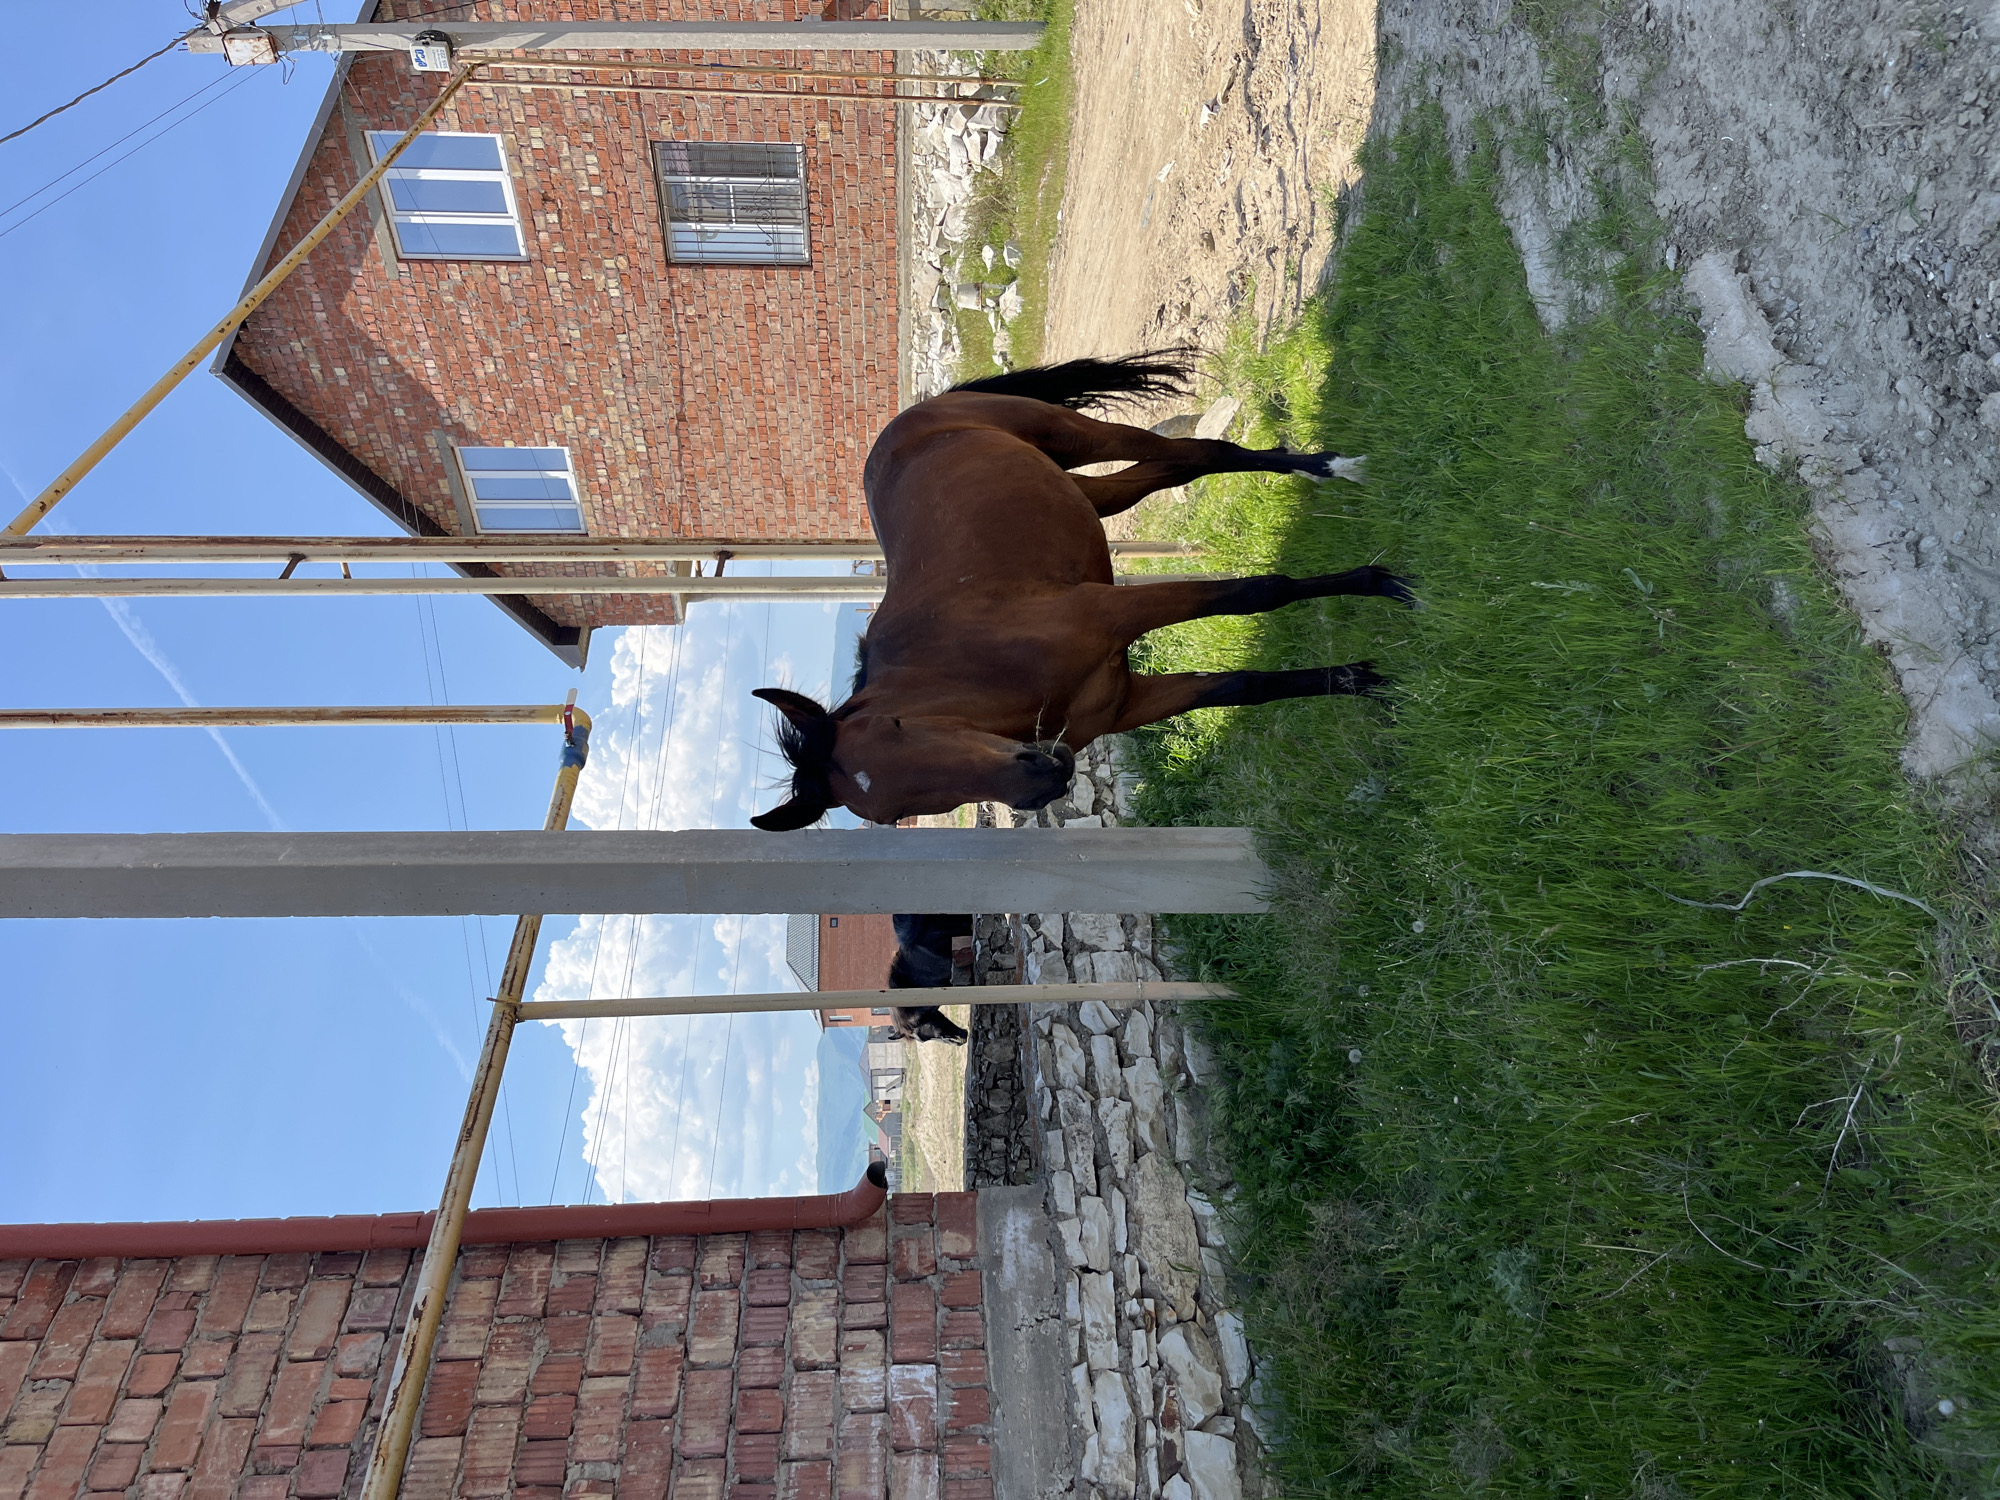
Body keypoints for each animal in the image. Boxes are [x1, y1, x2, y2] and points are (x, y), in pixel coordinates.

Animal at [749, 350, 1413, 829]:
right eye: (894, 812)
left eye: (897, 726)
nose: (1041, 780)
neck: (983, 666)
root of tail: (919, 411)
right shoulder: (1130, 701)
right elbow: (1246, 687)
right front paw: (1367, 682)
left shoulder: (1114, 610)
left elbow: (1259, 593)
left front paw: (1386, 587)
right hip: (1091, 493)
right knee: (1175, 468)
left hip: (1077, 436)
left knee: (1198, 451)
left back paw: (1330, 468)